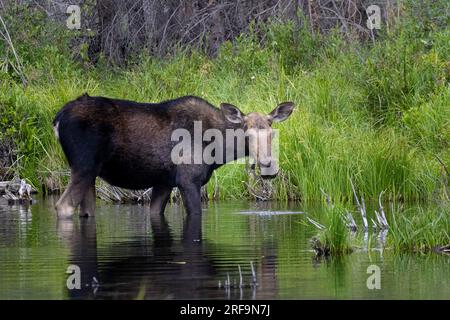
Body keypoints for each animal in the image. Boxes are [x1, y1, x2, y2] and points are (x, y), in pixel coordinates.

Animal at [53, 94, 296, 219]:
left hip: (90, 175)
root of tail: (57, 119)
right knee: (63, 206)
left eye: (272, 131)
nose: (268, 166)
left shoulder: (164, 182)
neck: (218, 151)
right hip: (83, 167)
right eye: (246, 133)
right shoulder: (188, 180)